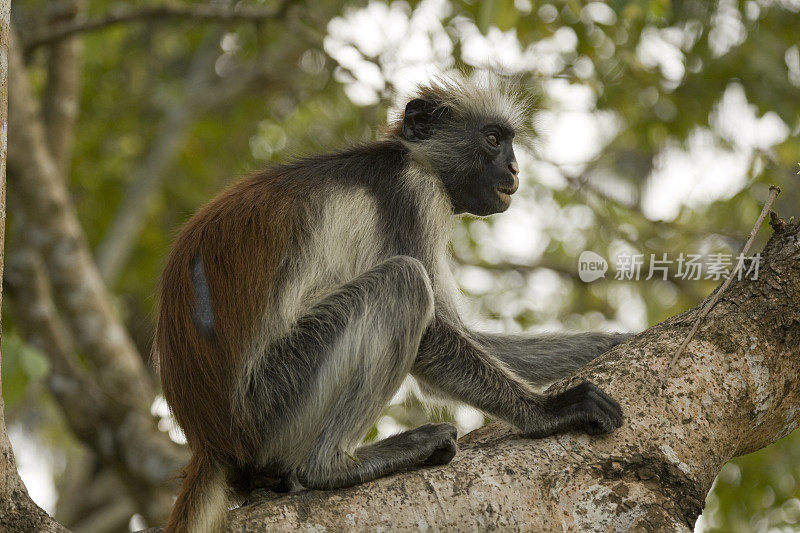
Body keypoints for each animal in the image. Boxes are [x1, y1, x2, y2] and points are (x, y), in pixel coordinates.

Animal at [156, 76, 628, 532]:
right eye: (493, 139)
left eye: (507, 143)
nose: (514, 167)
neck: (411, 157)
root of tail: (210, 439)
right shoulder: (413, 193)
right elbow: (433, 338)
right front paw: (547, 412)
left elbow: (463, 336)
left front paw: (619, 342)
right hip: (272, 400)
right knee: (404, 281)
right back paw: (332, 467)